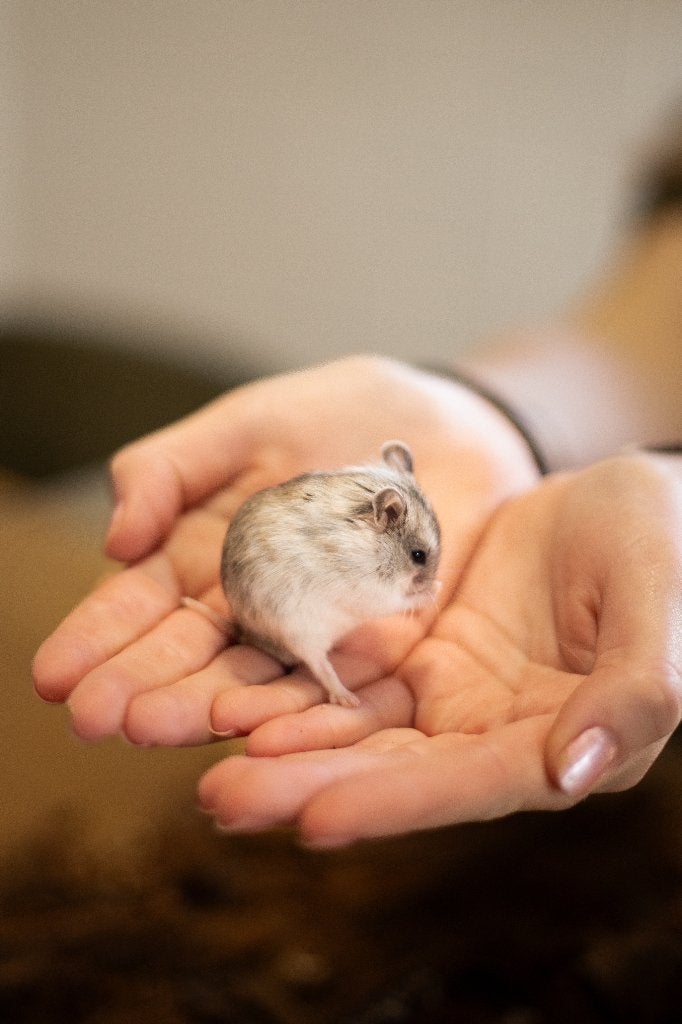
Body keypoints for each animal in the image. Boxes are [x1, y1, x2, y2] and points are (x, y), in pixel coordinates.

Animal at [184, 441, 440, 708]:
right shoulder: (373, 593)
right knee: (320, 665)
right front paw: (434, 590)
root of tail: (249, 635)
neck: (375, 546)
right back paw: (347, 699)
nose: (431, 580)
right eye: (418, 555)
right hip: (302, 633)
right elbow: (400, 600)